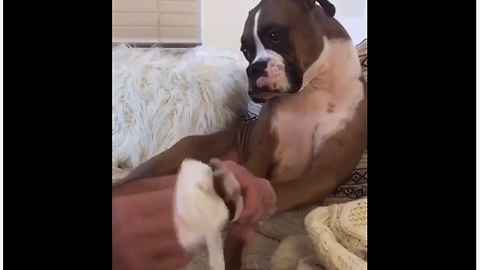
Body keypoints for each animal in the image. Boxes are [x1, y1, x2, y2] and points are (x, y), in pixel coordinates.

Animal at [113, 0, 368, 266]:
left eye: (274, 35)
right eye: (246, 50)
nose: (253, 69)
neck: (313, 89)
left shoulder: (321, 175)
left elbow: (268, 198)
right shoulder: (260, 155)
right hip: (168, 159)